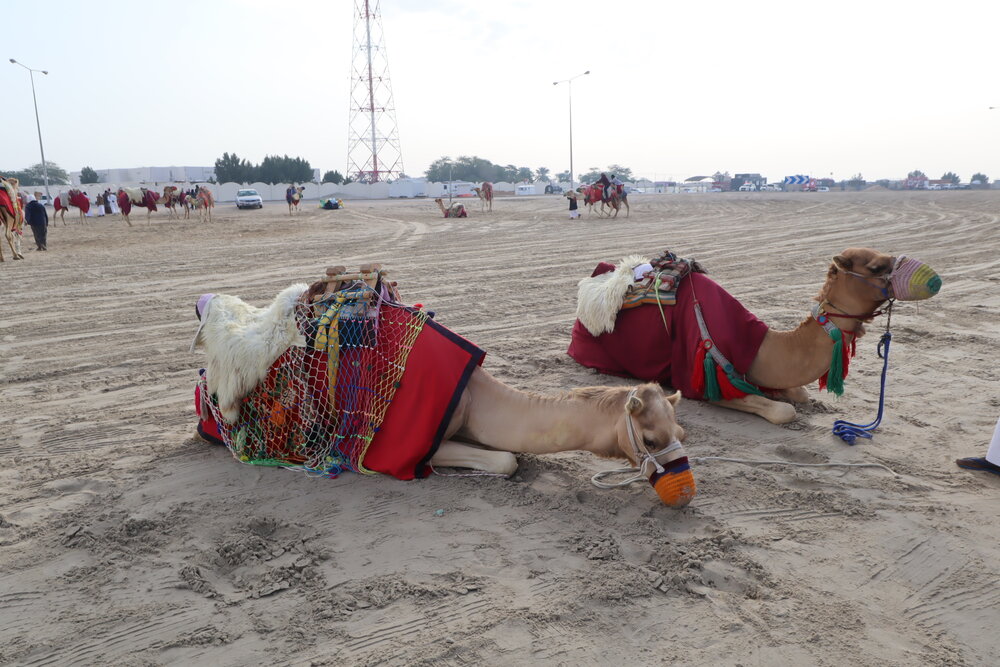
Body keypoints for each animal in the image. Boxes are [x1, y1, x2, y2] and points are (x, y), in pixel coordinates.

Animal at [569, 248, 941, 424]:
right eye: (877, 266)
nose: (933, 278)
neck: (762, 346)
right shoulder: (706, 383)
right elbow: (783, 411)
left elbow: (801, 395)